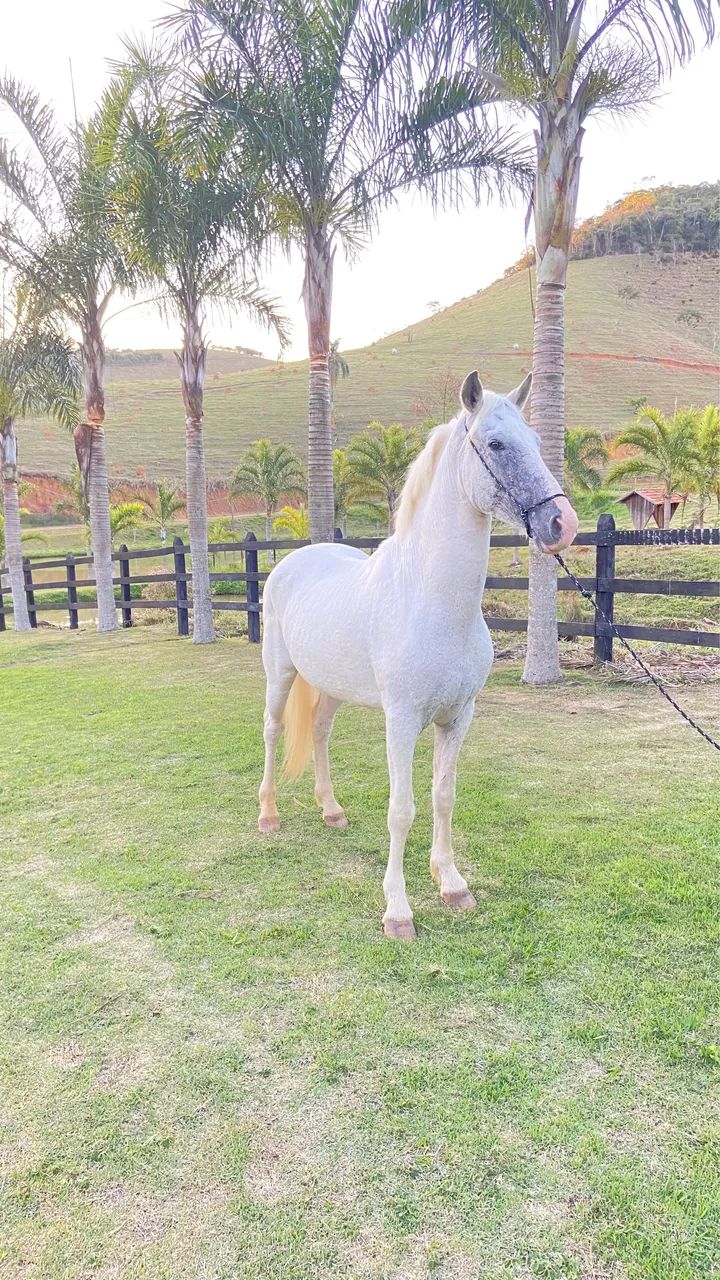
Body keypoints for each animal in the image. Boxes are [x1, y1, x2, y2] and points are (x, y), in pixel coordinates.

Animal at [257, 371, 578, 939]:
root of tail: (293, 561)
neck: (430, 601)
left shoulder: (457, 717)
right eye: (496, 443)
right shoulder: (402, 720)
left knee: (319, 732)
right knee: (273, 732)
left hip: (332, 687)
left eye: (538, 442)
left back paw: (331, 810)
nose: (563, 523)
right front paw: (398, 911)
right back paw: (268, 816)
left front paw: (452, 885)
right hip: (281, 675)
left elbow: (442, 798)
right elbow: (401, 809)